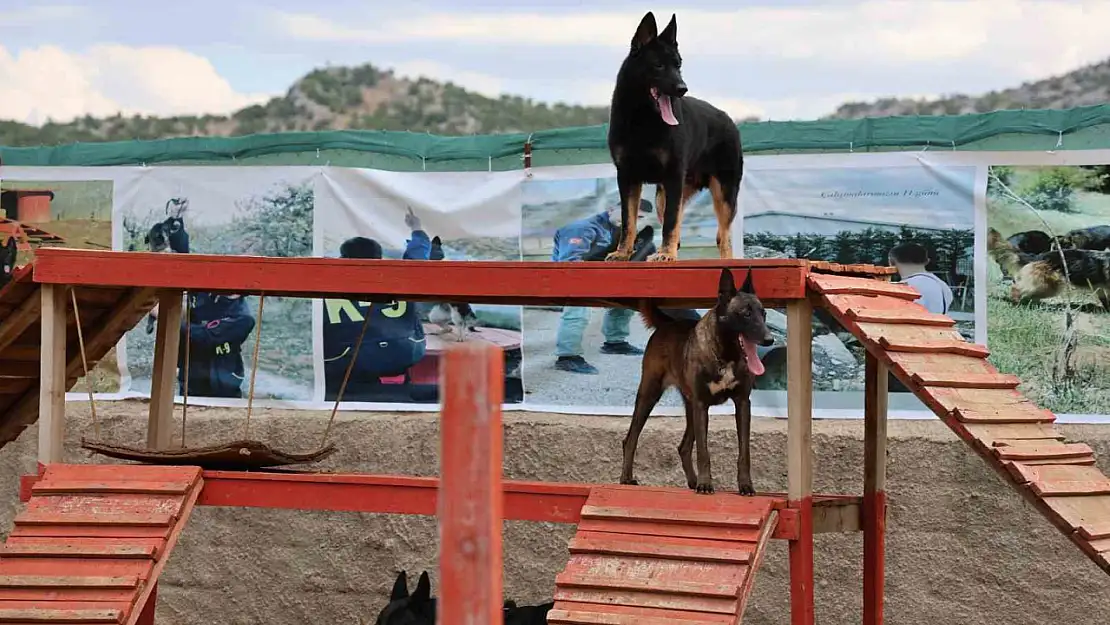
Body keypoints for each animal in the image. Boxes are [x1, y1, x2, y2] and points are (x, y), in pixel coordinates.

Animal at [603, 12, 741, 261]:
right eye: (658, 65)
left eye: (678, 66)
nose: (682, 88)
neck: (643, 119)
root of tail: (729, 121)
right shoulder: (627, 177)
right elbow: (628, 221)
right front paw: (623, 253)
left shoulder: (673, 175)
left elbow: (669, 223)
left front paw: (666, 254)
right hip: (663, 196)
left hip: (723, 193)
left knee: (722, 236)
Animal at [626, 268, 772, 499]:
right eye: (746, 313)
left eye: (763, 314)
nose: (770, 339)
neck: (726, 355)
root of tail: (668, 323)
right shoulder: (702, 405)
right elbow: (703, 451)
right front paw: (705, 484)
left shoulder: (742, 404)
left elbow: (744, 451)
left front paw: (745, 485)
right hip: (649, 395)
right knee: (631, 438)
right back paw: (626, 479)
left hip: (690, 406)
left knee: (684, 447)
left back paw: (692, 482)